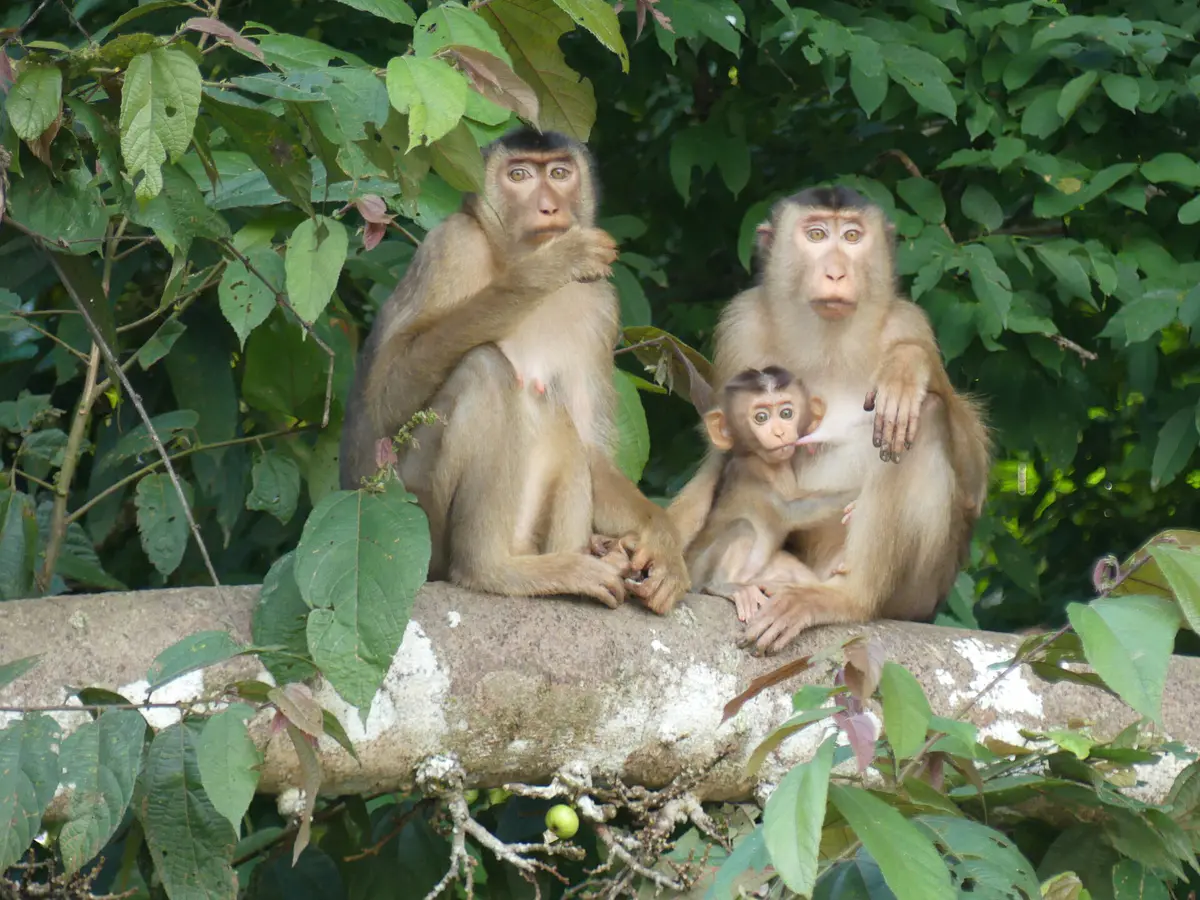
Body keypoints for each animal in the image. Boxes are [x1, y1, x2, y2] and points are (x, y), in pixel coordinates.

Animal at [339, 127, 690, 612]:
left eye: (559, 173)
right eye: (519, 175)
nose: (549, 207)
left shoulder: (601, 304)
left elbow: (591, 447)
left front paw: (663, 542)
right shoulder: (452, 246)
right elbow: (382, 401)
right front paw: (547, 268)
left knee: (564, 427)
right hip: (412, 515)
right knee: (485, 369)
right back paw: (491, 569)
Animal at [685, 366, 858, 622]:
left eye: (786, 413)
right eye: (761, 417)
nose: (779, 432)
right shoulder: (754, 472)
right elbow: (794, 511)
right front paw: (858, 496)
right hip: (697, 573)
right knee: (742, 527)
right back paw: (722, 585)